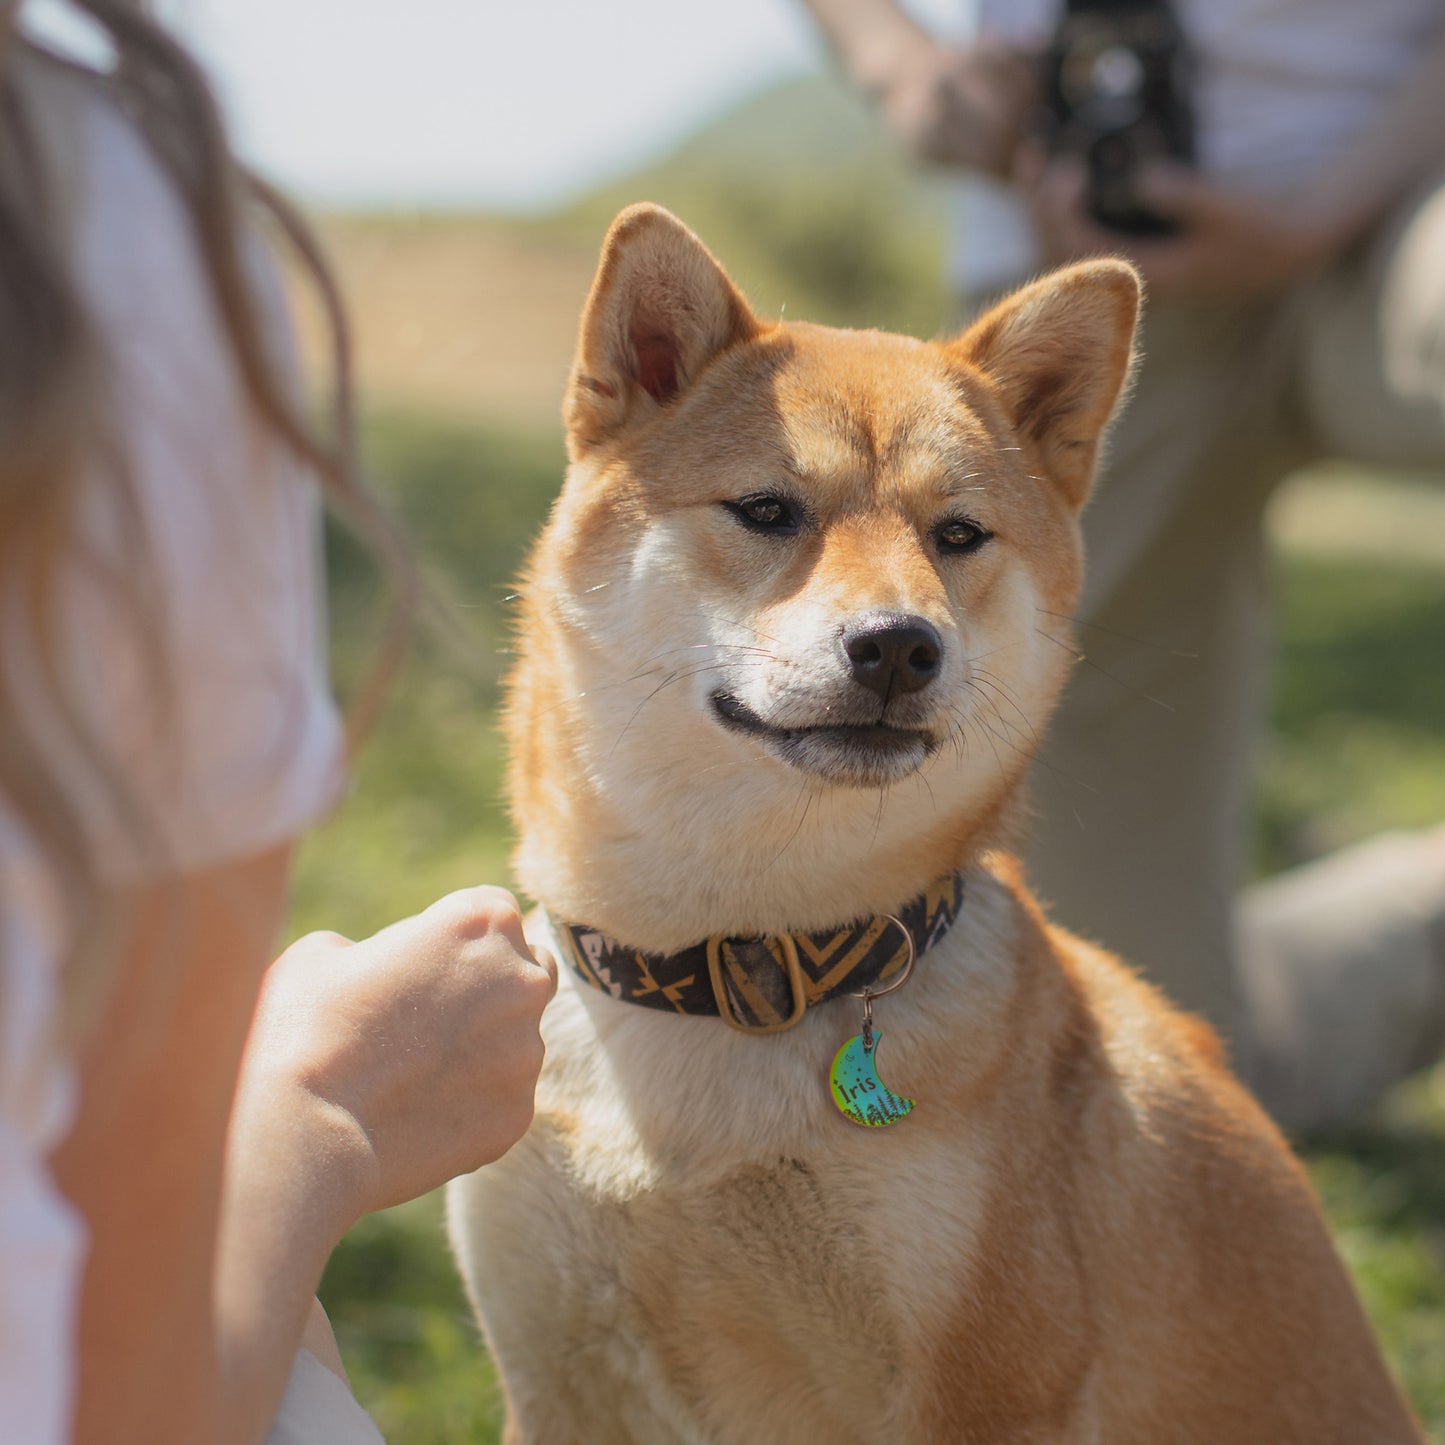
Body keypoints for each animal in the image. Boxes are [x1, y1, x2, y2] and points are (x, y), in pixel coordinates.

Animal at [445, 206, 1416, 1445]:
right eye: (767, 509)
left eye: (956, 533)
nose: (898, 645)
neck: (729, 969)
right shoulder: (559, 1384)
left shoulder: (982, 1390)